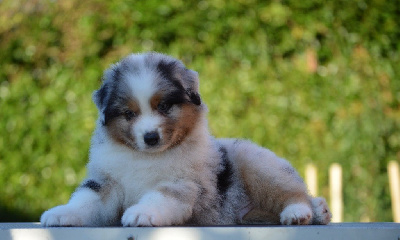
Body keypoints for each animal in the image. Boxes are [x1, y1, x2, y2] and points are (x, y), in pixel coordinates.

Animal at [40, 52, 332, 227]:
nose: (150, 137)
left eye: (164, 106)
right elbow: (85, 200)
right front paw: (60, 213)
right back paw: (319, 210)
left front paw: (140, 213)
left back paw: (299, 213)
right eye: (129, 113)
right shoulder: (106, 182)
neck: (144, 157)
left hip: (260, 166)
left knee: (293, 191)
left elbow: (158, 197)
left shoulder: (182, 183)